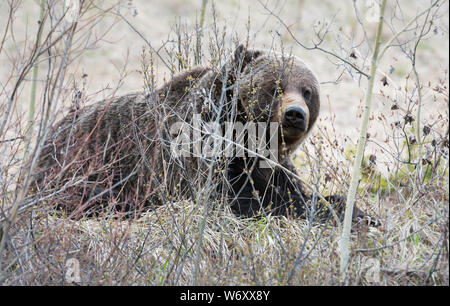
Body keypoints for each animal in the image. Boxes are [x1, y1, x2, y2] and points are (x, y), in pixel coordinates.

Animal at [29, 44, 370, 224]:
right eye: (275, 87)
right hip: (81, 167)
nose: (295, 114)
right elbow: (232, 200)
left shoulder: (270, 164)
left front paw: (355, 211)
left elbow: (295, 191)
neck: (246, 137)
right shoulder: (196, 150)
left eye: (307, 91)